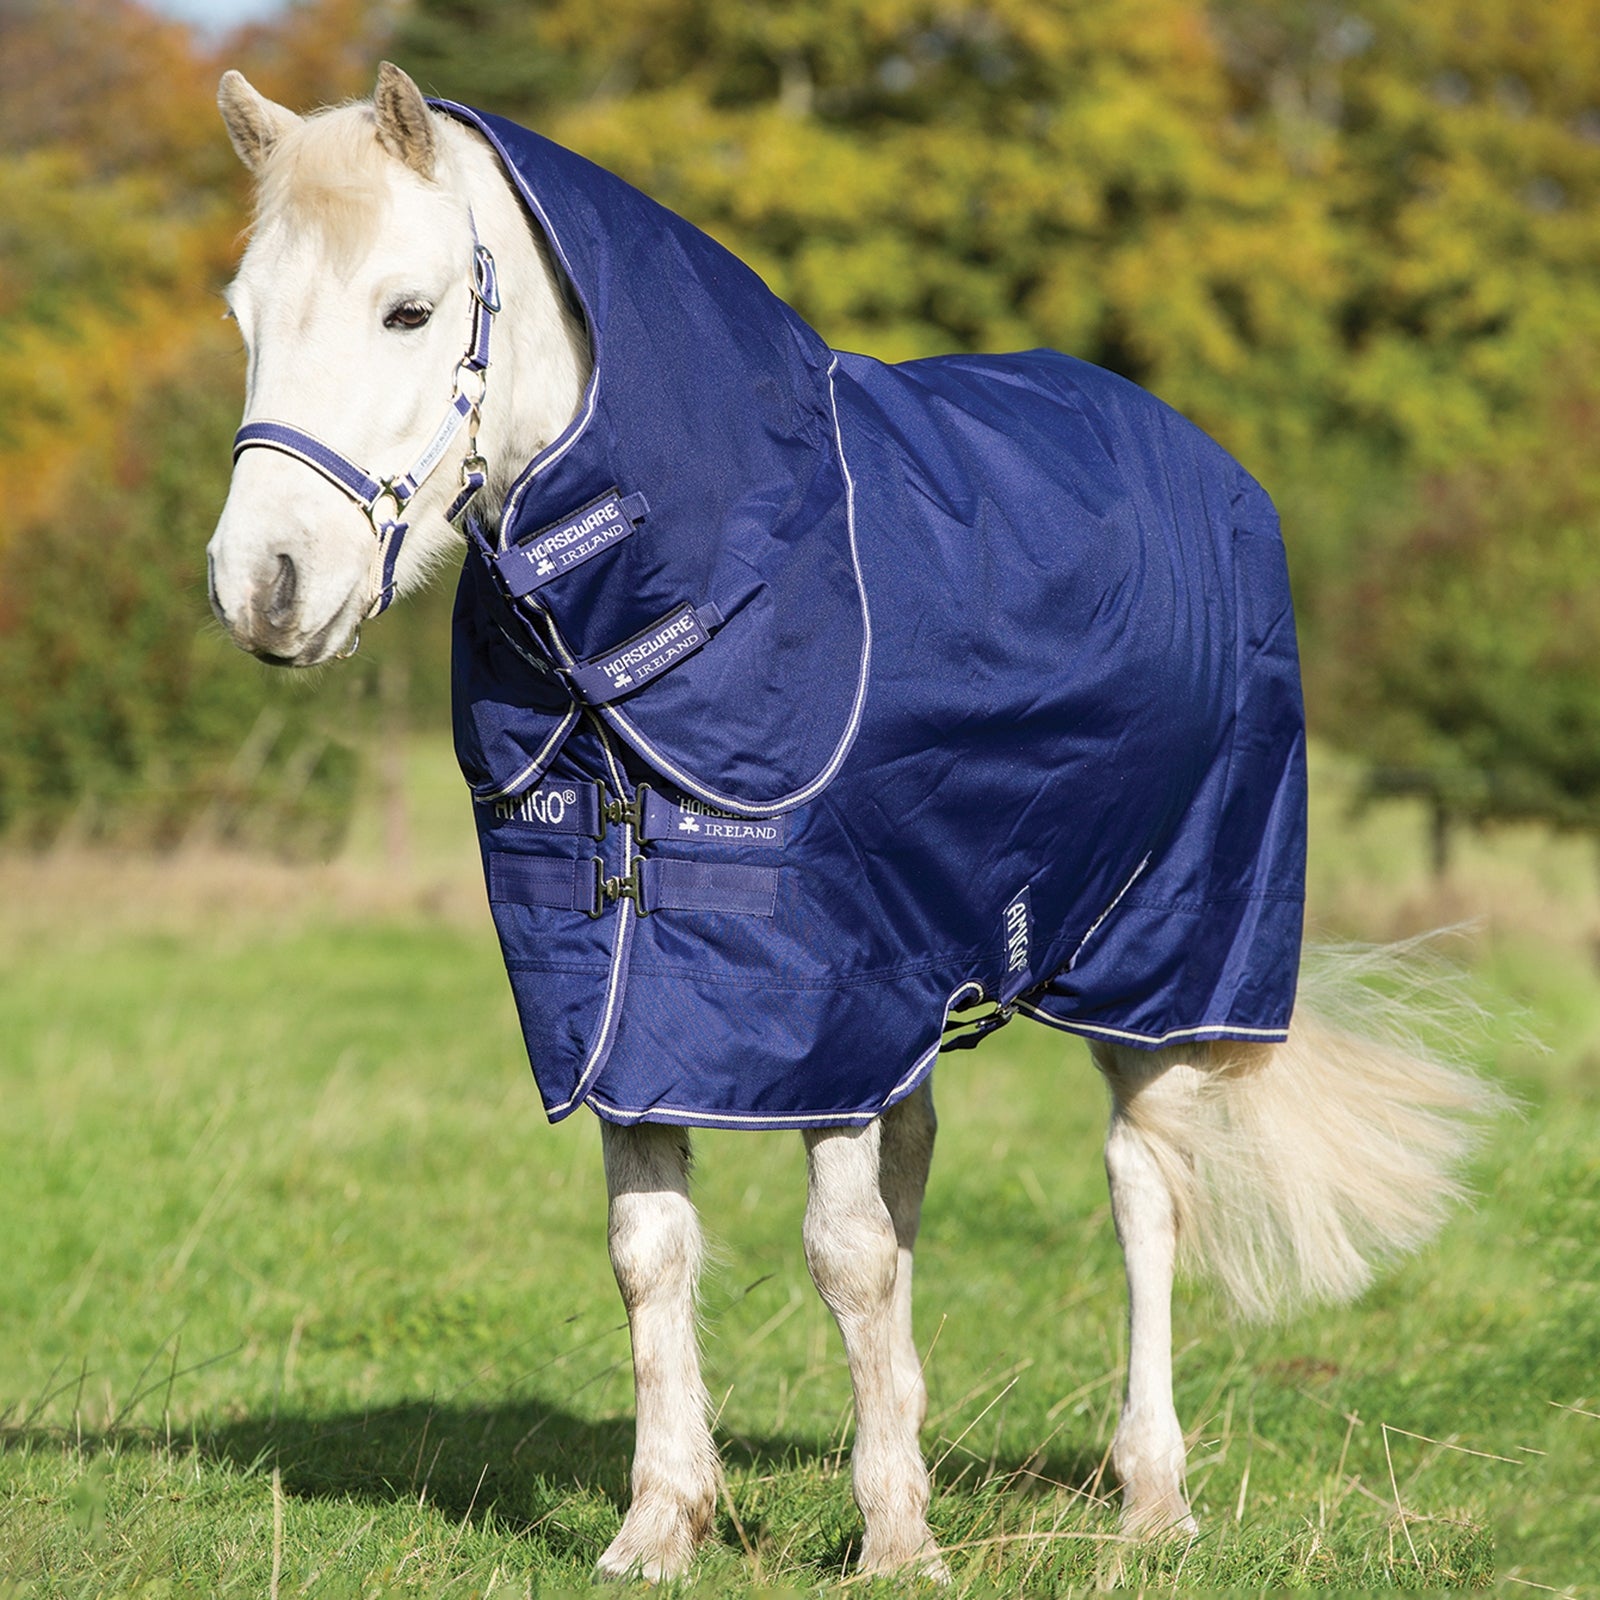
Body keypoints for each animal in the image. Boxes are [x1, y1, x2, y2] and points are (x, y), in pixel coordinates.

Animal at [207, 63, 1498, 1582]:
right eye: (244, 314)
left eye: (408, 310)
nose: (262, 585)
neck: (676, 604)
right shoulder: (637, 1006)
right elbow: (657, 1248)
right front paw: (664, 1522)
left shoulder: (819, 999)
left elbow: (842, 1251)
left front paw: (895, 1544)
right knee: (922, 1174)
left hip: (1162, 962)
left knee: (1142, 1189)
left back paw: (1153, 1496)